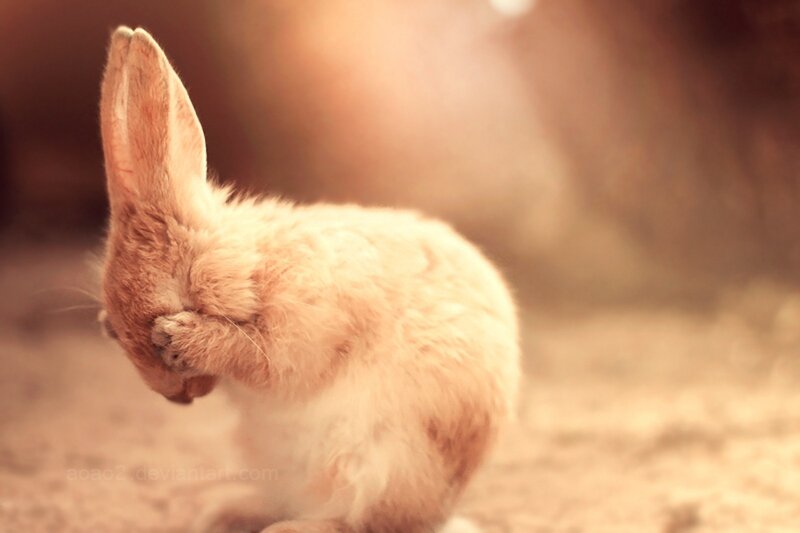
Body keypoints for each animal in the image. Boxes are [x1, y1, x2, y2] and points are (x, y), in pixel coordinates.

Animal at [98, 26, 520, 533]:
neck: (254, 266)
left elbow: (262, 360)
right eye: (110, 329)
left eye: (173, 299)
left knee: (360, 521)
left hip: (382, 466)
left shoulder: (305, 332)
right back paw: (224, 513)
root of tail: (438, 513)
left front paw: (182, 338)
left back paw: (284, 529)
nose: (177, 399)